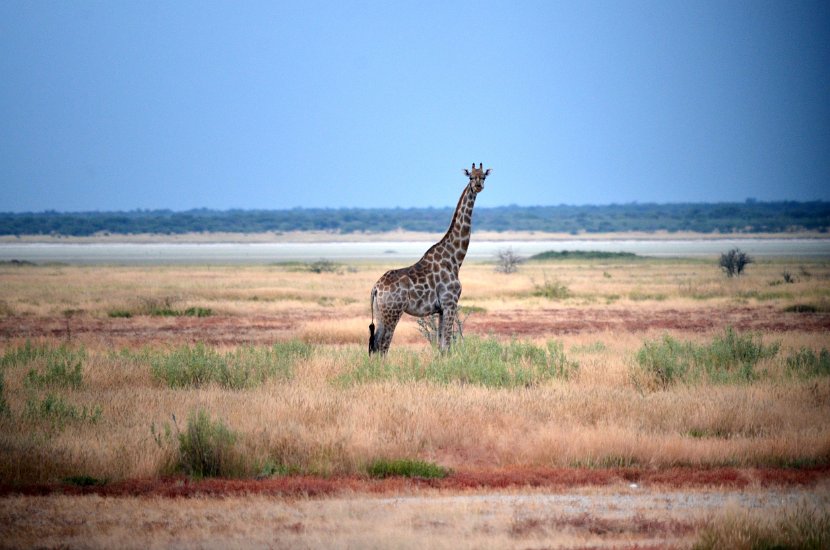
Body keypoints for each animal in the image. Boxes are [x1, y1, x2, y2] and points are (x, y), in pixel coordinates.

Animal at [368, 163, 491, 354]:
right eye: (471, 177)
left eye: (483, 176)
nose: (478, 186)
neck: (455, 259)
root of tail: (376, 288)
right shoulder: (450, 303)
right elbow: (447, 345)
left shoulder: (440, 309)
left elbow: (441, 345)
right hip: (393, 312)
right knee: (383, 345)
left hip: (381, 313)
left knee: (375, 345)